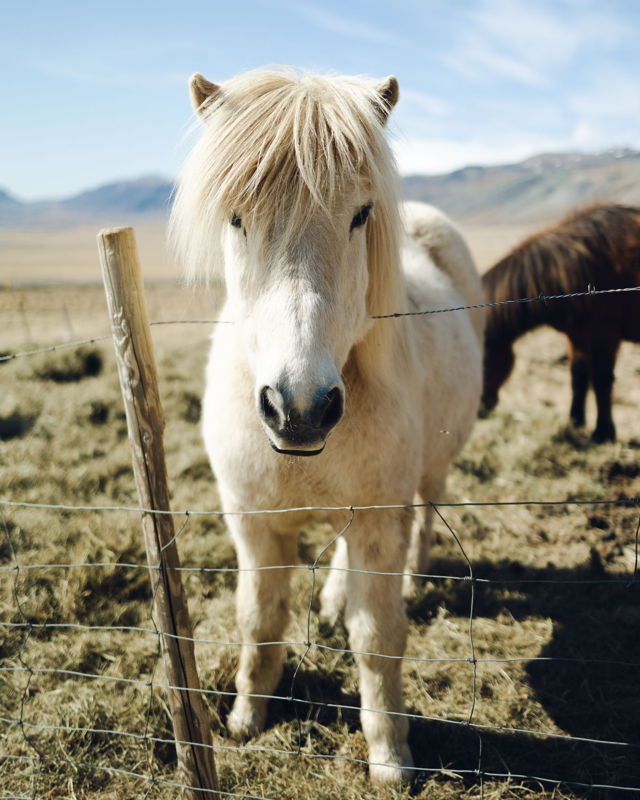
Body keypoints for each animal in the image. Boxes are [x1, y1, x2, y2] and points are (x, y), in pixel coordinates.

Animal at [170, 67, 484, 784]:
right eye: (235, 217)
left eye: (361, 215)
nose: (301, 408)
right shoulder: (254, 524)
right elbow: (259, 620)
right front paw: (246, 718)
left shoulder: (378, 518)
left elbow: (378, 638)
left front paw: (389, 755)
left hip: (426, 474)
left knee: (426, 511)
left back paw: (415, 579)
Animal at [481, 204, 640, 443]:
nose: (479, 410)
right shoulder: (576, 336)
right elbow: (578, 377)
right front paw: (575, 423)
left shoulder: (604, 335)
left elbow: (601, 380)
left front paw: (603, 433)